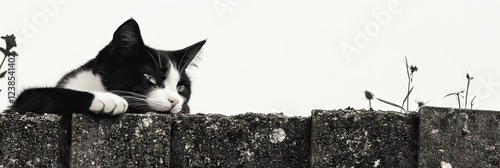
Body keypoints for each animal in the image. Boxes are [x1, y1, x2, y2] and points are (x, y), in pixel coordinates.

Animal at [6, 18, 205, 115]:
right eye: (150, 78)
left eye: (181, 88)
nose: (175, 101)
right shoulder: (24, 102)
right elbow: (46, 94)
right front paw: (108, 100)